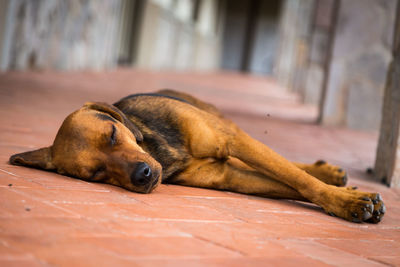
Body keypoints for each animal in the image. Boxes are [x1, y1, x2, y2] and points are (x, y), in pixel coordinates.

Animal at [8, 90, 384, 224]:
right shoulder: (231, 177)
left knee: (290, 164)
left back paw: (332, 174)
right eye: (96, 174)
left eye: (112, 134)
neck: (160, 150)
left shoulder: (231, 140)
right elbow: (291, 185)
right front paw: (351, 198)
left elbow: (299, 179)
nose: (143, 175)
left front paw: (347, 201)